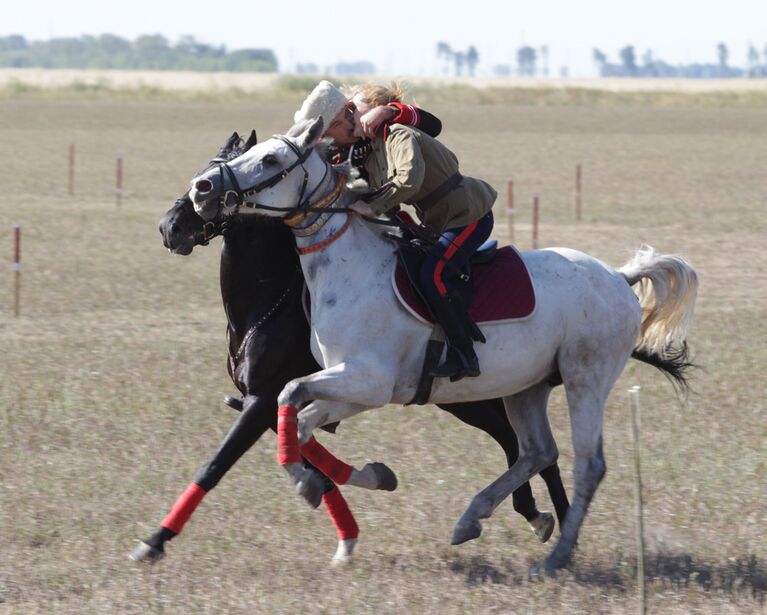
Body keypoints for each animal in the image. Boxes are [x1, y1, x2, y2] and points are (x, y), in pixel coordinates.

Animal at [130, 132, 568, 564]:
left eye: (257, 164)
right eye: (204, 168)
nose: (170, 226)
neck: (270, 304)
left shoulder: (263, 400)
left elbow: (217, 465)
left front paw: (156, 540)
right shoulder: (274, 402)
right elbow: (310, 457)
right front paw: (356, 507)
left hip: (474, 393)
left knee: (523, 444)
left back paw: (556, 520)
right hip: (462, 396)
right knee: (517, 442)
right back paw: (536, 515)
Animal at [188, 119, 704, 572]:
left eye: (270, 158)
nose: (201, 189)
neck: (349, 267)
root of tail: (618, 276)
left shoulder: (366, 380)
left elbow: (289, 395)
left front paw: (311, 485)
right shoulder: (355, 389)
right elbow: (300, 423)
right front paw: (362, 478)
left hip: (585, 380)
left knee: (588, 465)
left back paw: (555, 557)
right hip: (527, 387)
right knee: (536, 451)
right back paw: (473, 519)